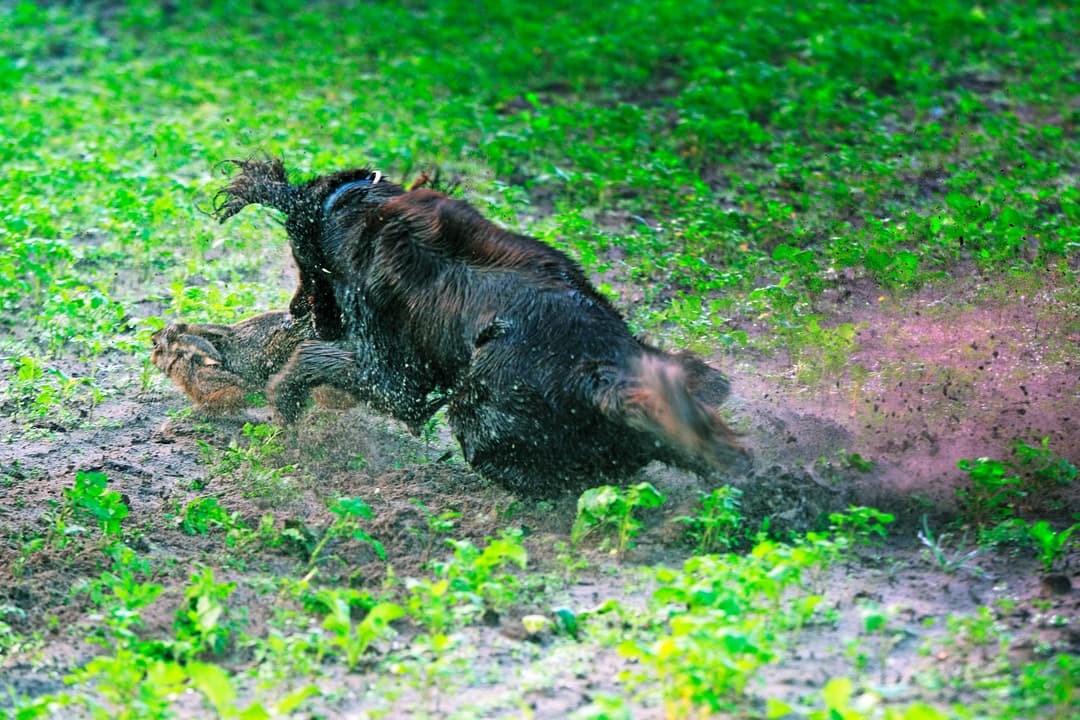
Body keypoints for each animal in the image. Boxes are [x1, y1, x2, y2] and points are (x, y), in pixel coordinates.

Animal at [211, 157, 751, 496]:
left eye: (300, 259)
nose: (297, 310)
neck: (360, 207)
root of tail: (601, 377)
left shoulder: (395, 380)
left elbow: (310, 359)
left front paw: (284, 399)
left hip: (475, 417)